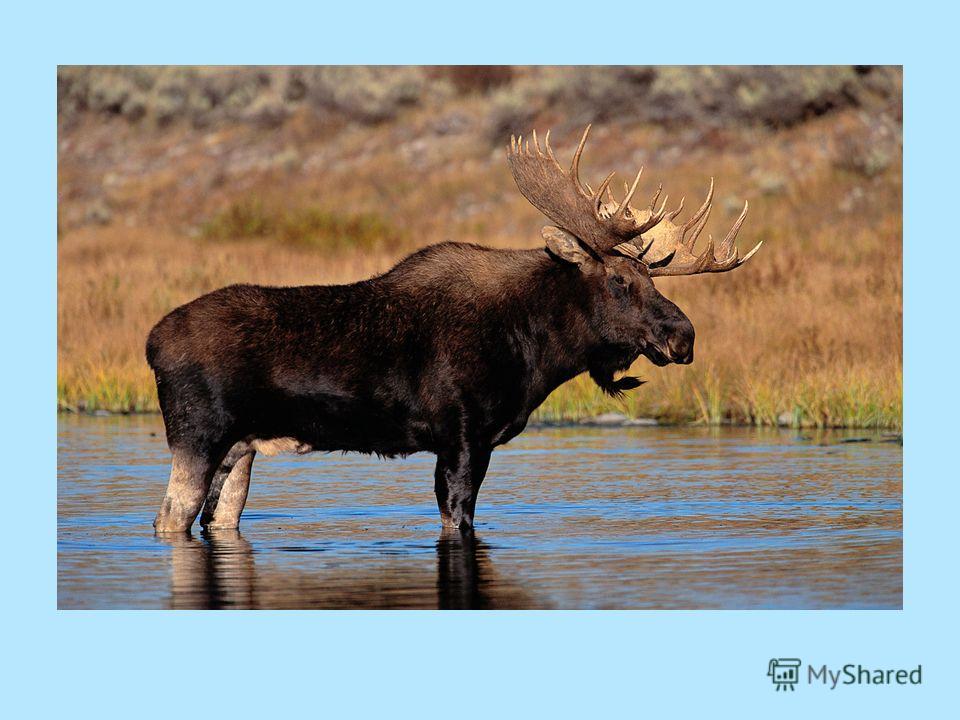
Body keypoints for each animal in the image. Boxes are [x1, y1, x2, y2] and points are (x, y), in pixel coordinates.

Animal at [146, 126, 760, 532]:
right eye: (618, 280)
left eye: (649, 276)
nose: (684, 336)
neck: (535, 351)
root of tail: (152, 342)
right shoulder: (464, 436)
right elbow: (457, 517)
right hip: (198, 435)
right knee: (170, 517)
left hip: (241, 449)